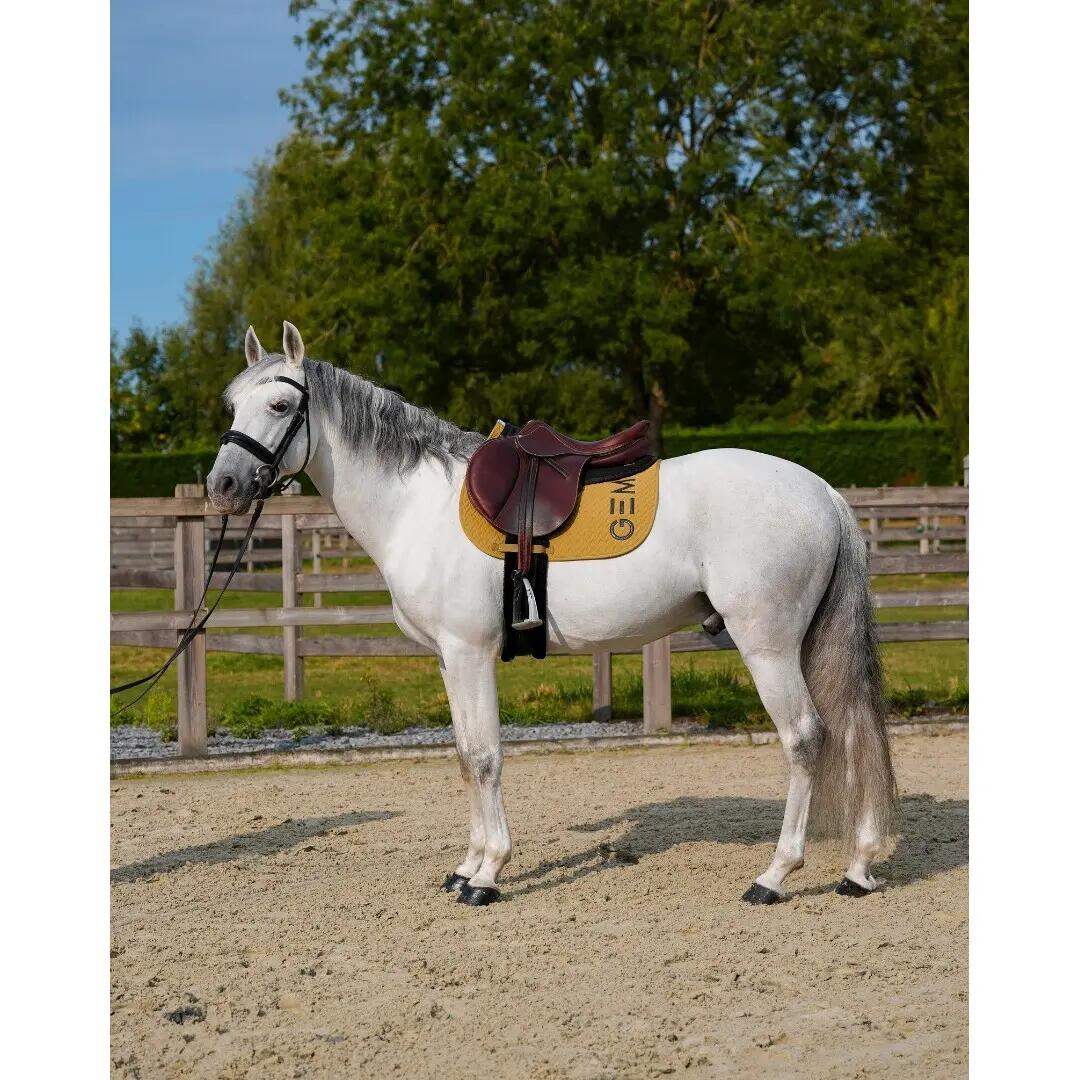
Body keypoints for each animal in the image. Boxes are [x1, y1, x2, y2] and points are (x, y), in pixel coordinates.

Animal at [207, 321, 898, 907]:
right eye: (233, 405)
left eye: (279, 406)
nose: (223, 487)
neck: (417, 505)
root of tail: (823, 492)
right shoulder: (449, 660)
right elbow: (466, 755)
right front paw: (466, 866)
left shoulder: (470, 652)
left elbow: (486, 757)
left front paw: (487, 876)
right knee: (853, 730)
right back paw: (858, 867)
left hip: (768, 646)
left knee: (806, 738)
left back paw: (775, 876)